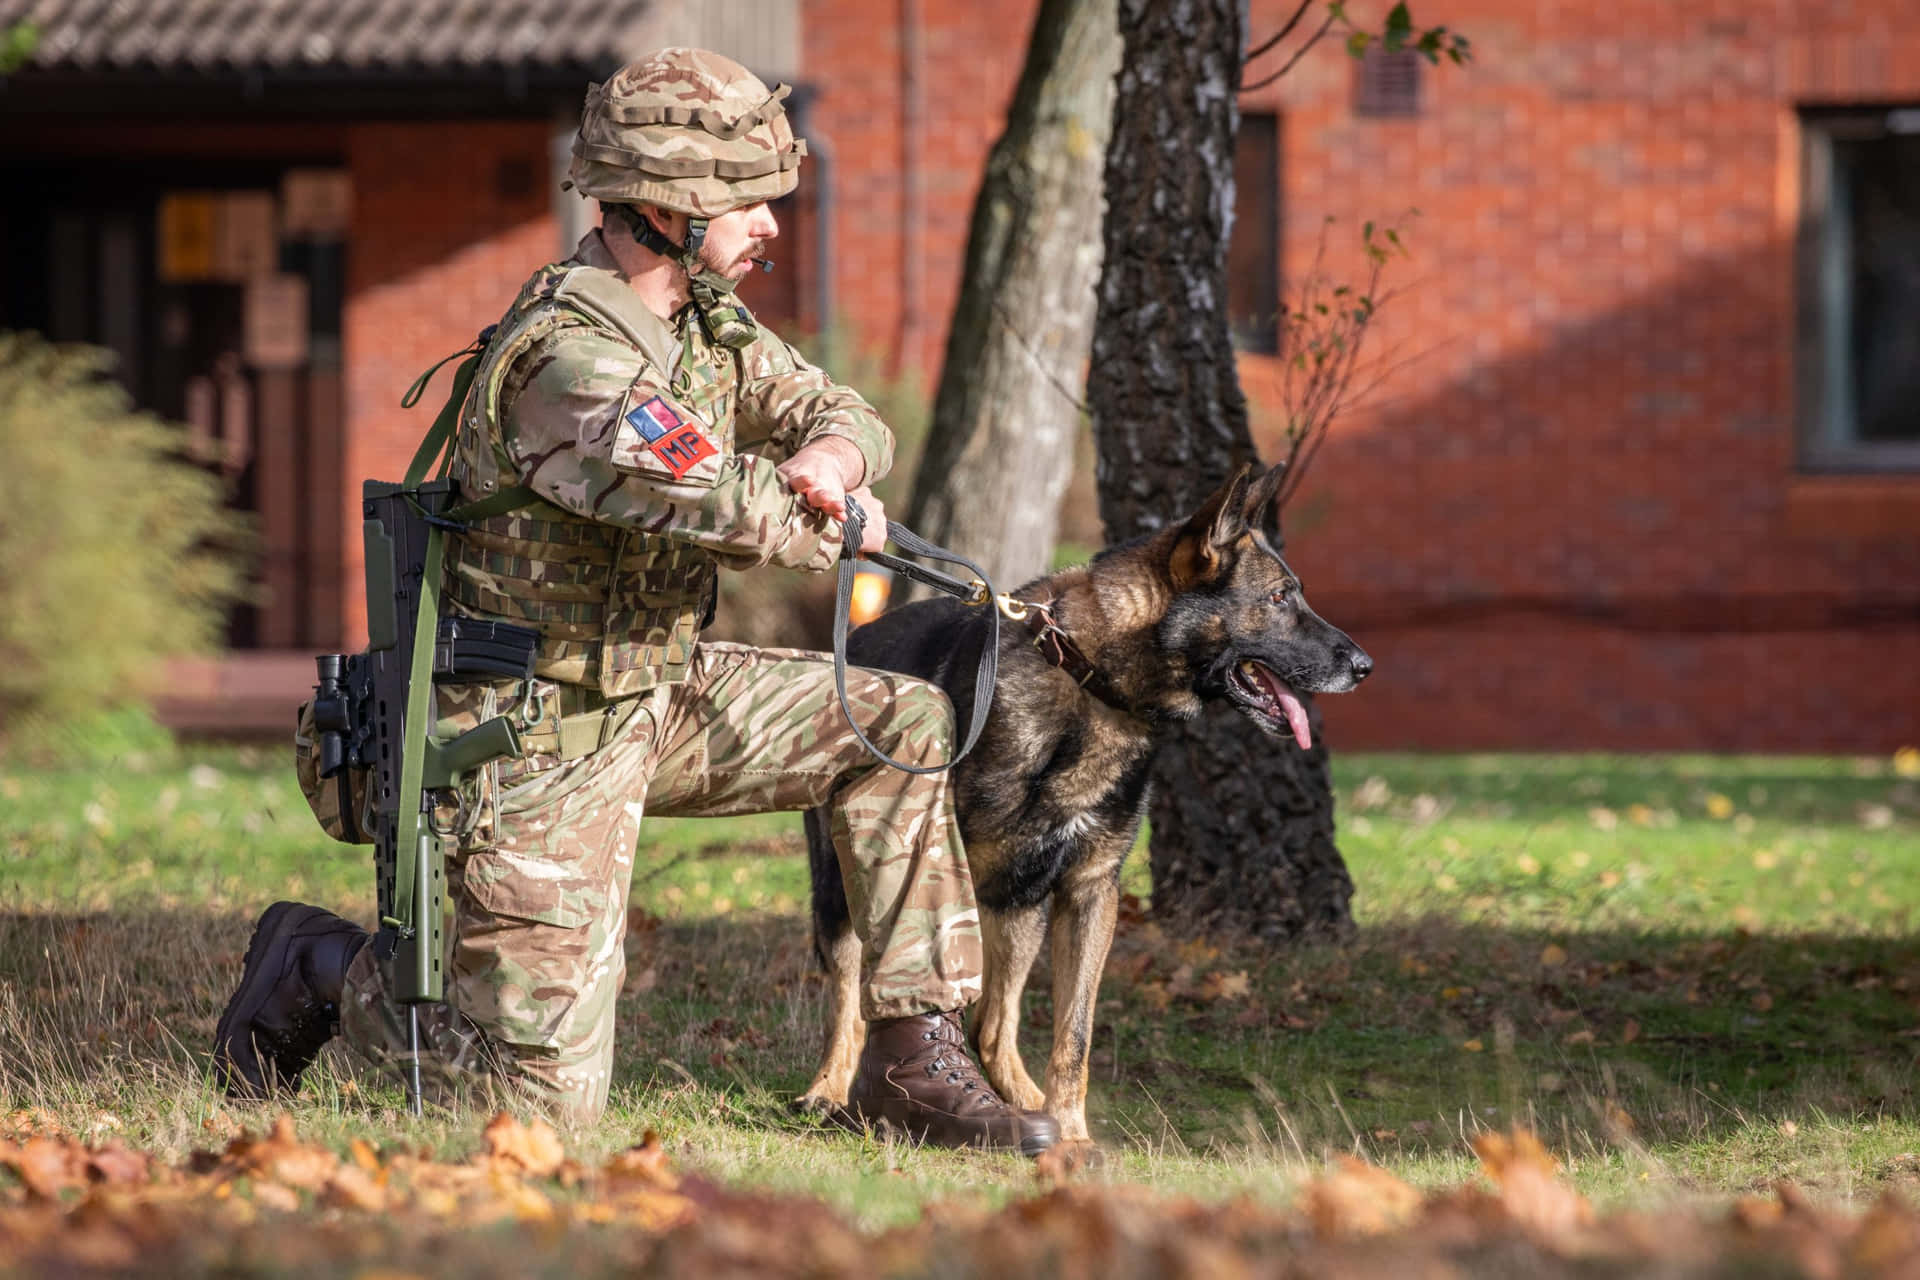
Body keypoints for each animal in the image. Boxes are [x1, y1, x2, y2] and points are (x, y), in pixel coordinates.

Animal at [802, 466, 1374, 1143]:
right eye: (1282, 598)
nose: (1365, 666)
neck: (1090, 678)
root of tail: (857, 636)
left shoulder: (1089, 894)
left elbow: (1074, 1032)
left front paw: (1071, 1132)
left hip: (1018, 908)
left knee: (992, 1024)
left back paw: (1025, 1103)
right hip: (848, 890)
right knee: (849, 999)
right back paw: (830, 1089)